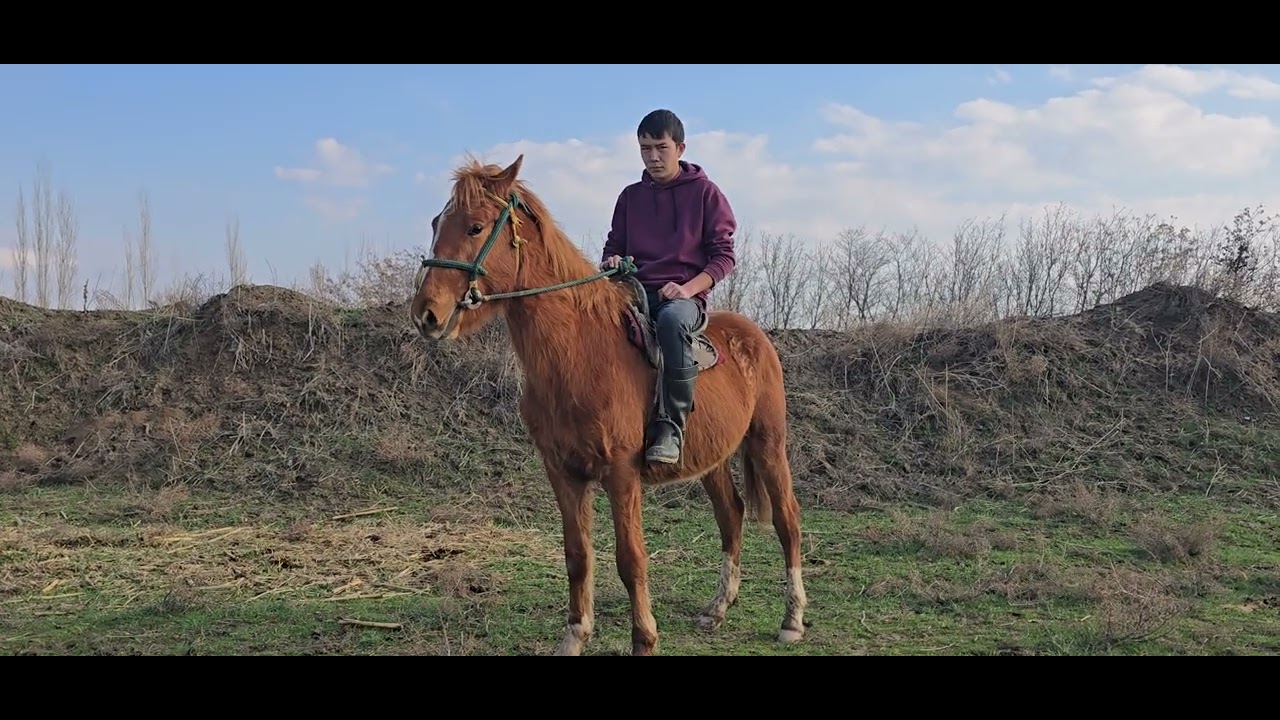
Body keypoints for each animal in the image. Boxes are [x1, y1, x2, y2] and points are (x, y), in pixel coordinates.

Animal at [409, 153, 807, 656]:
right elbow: (578, 556)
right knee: (731, 517)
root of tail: (754, 336)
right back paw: (718, 608)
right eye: (437, 223)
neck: (579, 355)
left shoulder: (621, 474)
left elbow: (630, 559)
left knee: (788, 521)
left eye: (475, 227)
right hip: (713, 459)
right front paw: (574, 637)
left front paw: (644, 639)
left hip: (768, 444)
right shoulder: (563, 473)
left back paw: (792, 618)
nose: (426, 314)